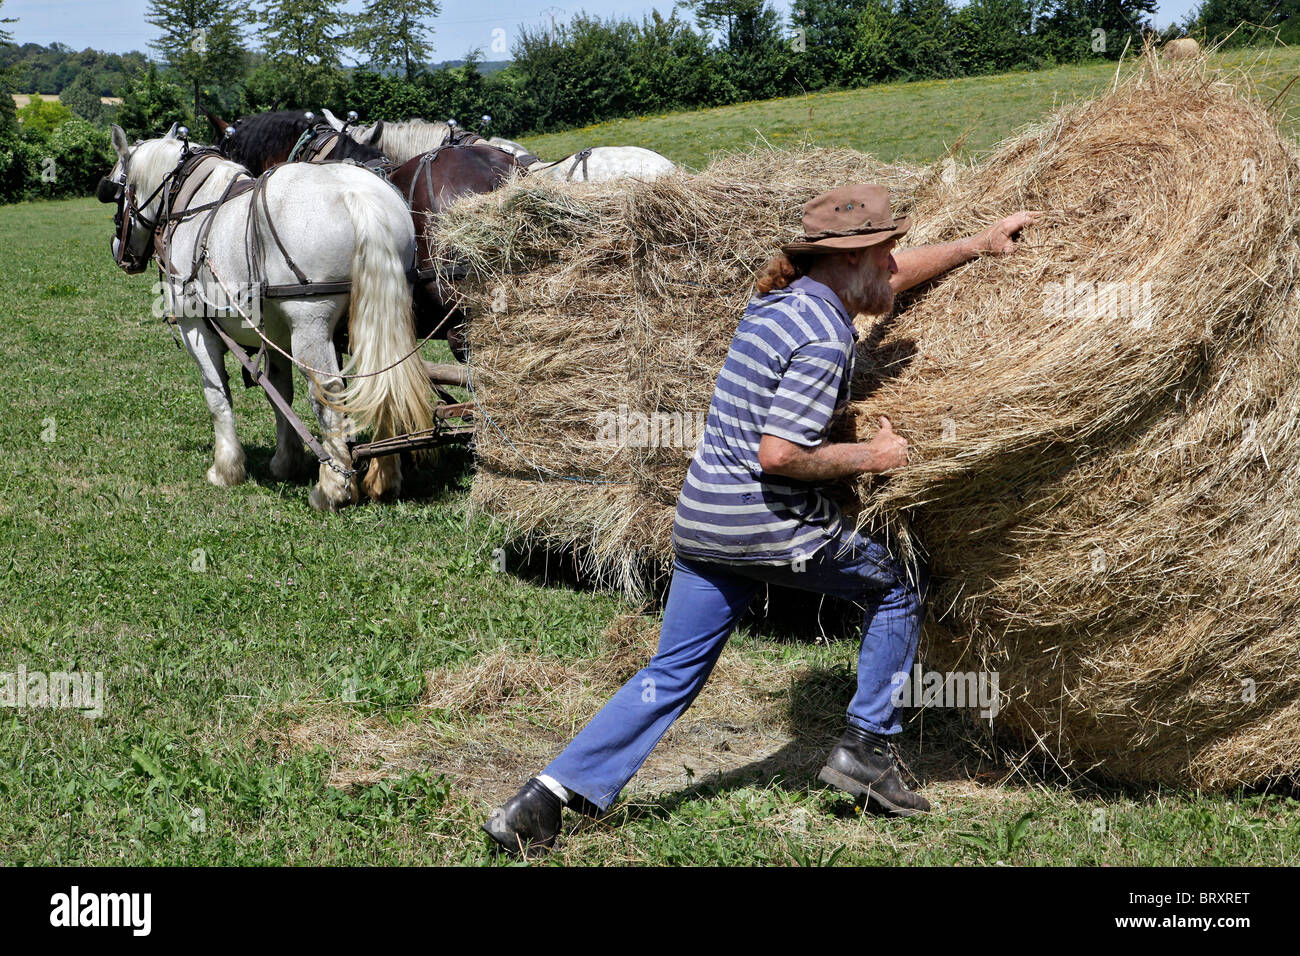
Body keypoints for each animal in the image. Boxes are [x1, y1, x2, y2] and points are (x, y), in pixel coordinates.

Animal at [105, 125, 431, 509]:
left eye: (116, 191)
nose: (118, 251)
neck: (190, 206)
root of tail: (358, 197)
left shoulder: (196, 328)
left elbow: (217, 396)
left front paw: (226, 468)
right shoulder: (275, 335)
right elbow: (280, 394)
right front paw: (285, 462)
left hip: (310, 325)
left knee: (329, 391)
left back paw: (333, 487)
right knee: (383, 381)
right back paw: (383, 477)